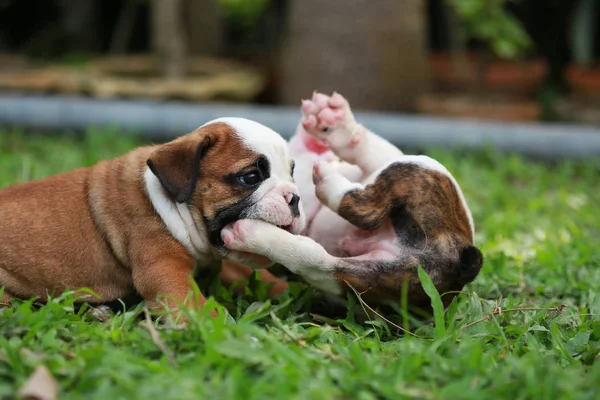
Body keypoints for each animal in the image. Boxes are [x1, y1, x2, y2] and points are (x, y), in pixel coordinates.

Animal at [0, 118, 302, 318]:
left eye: (292, 172)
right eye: (250, 177)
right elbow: (198, 309)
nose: (295, 198)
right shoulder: (166, 273)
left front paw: (289, 289)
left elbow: (255, 274)